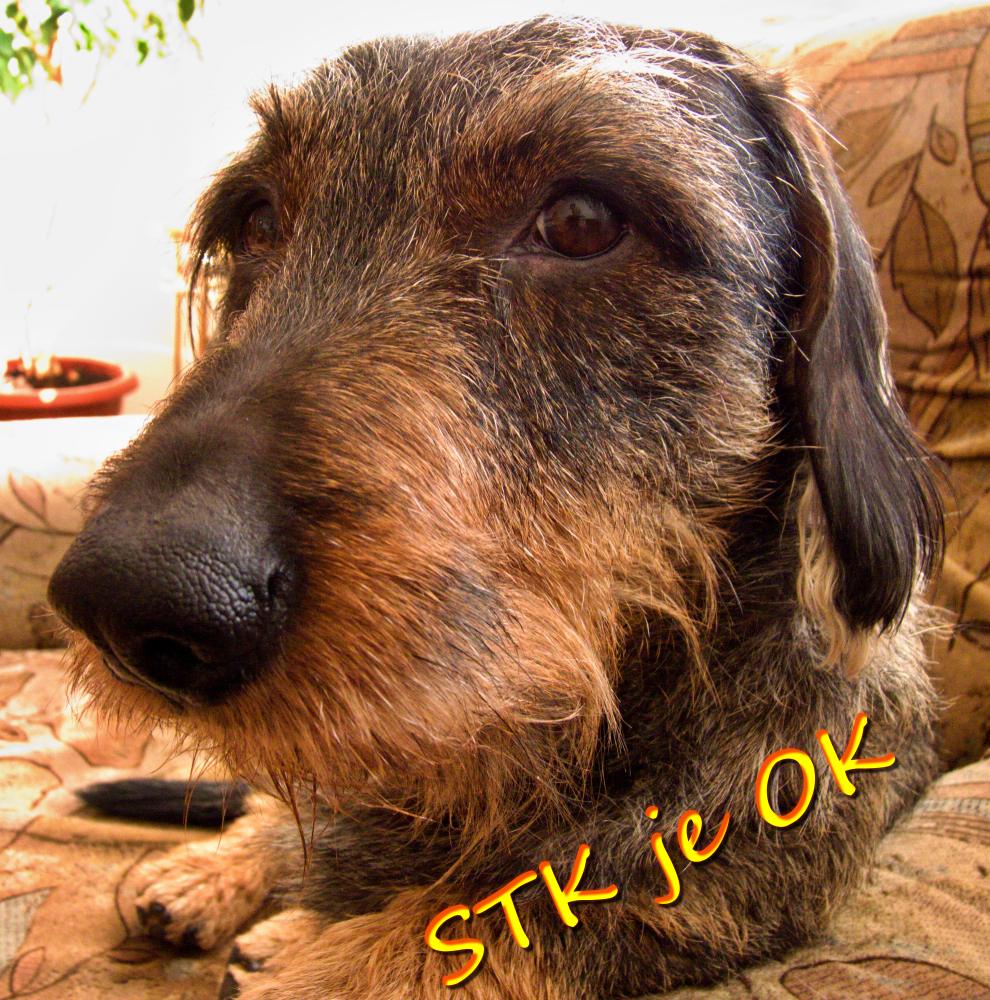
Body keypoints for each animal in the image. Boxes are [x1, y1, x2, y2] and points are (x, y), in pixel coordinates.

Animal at [48, 16, 944, 1000]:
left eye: (583, 222)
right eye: (255, 219)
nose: (127, 600)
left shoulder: (751, 866)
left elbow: (518, 912)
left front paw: (324, 958)